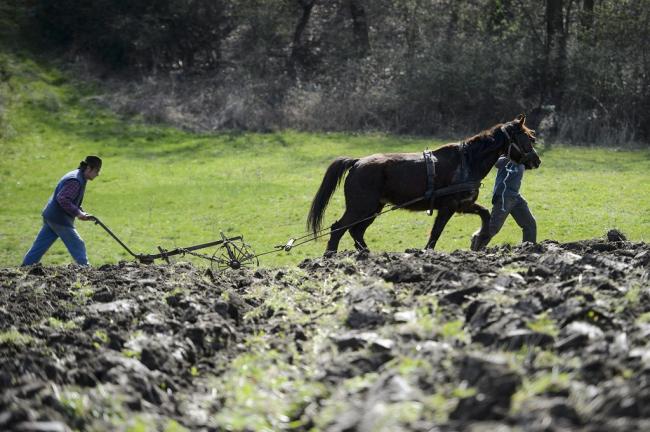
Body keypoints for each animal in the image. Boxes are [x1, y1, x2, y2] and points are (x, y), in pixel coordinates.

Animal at [306, 114, 540, 253]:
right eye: (528, 138)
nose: (537, 161)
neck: (467, 161)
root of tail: (356, 162)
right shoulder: (448, 207)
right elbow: (436, 233)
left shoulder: (463, 205)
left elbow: (485, 213)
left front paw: (480, 239)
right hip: (360, 207)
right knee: (339, 228)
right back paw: (329, 257)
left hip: (372, 209)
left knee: (356, 231)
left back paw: (367, 255)